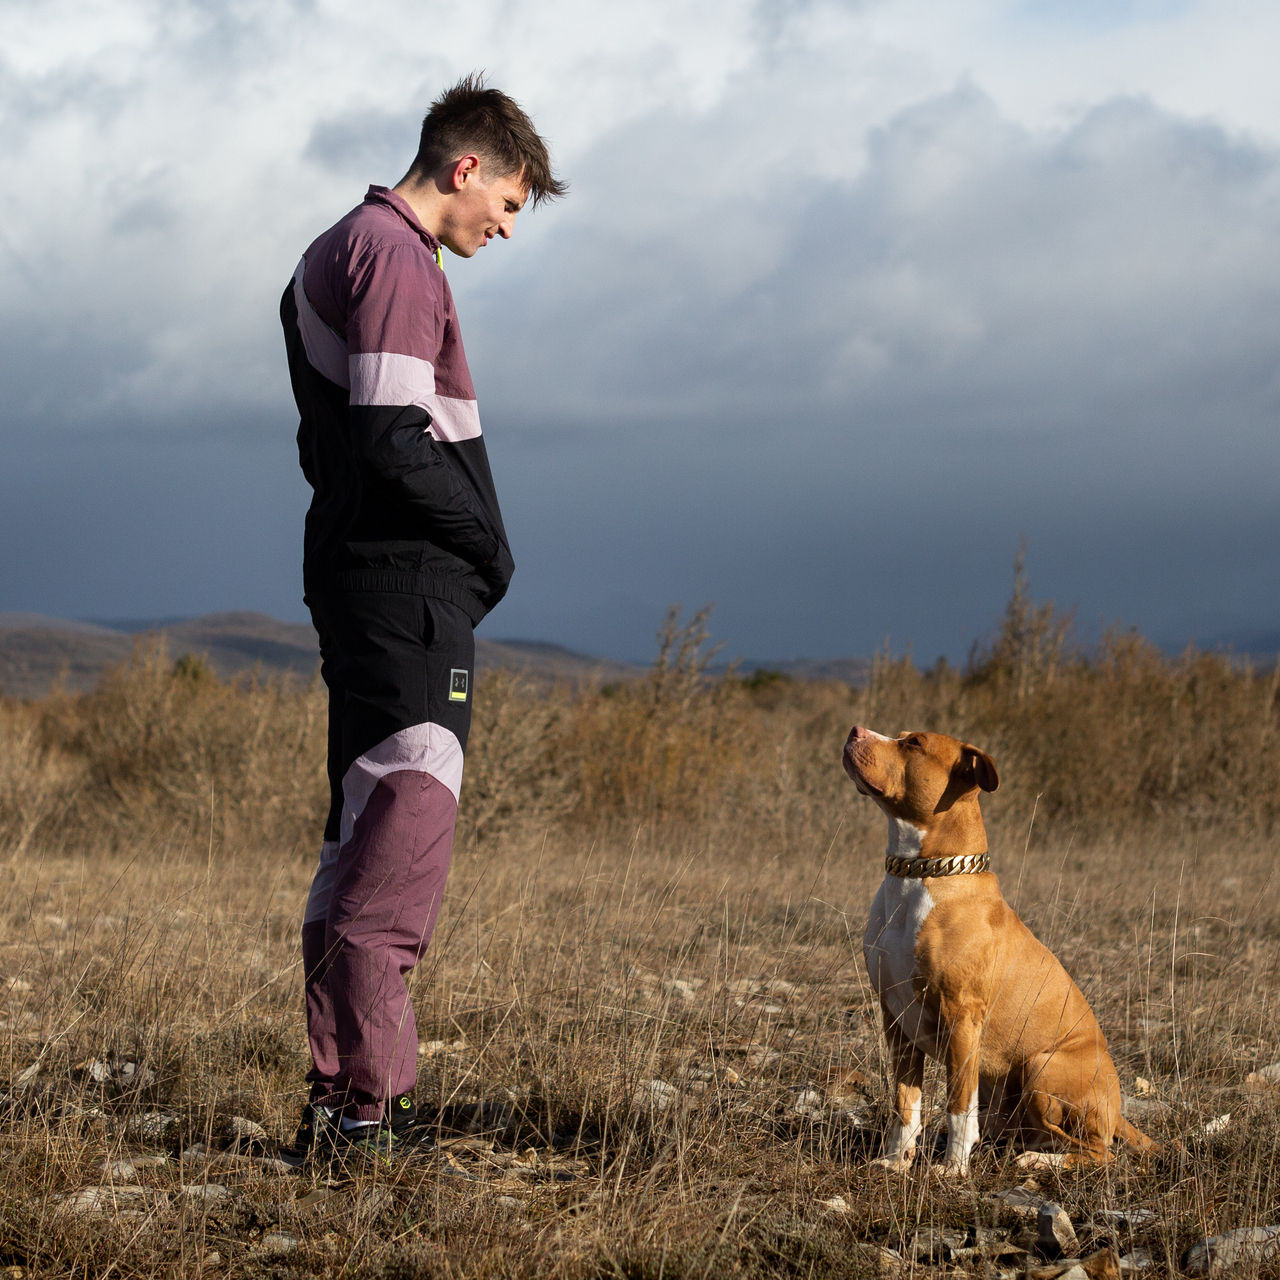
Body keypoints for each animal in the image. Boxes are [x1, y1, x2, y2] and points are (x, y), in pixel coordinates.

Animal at [839, 727, 1162, 1172]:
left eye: (915, 743)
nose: (855, 731)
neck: (920, 874)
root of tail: (1118, 1110)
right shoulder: (896, 1017)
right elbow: (906, 1103)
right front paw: (895, 1162)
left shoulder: (961, 1016)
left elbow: (958, 1105)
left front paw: (953, 1169)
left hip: (1042, 1067)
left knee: (1098, 1151)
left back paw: (1037, 1161)